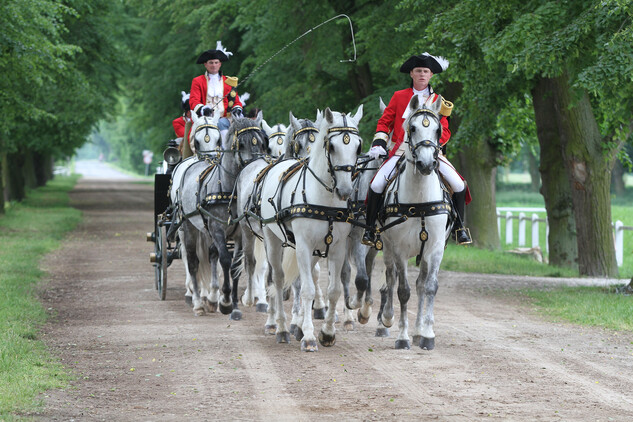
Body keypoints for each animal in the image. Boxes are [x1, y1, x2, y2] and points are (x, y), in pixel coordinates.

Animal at [258, 107, 366, 352]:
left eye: (358, 146)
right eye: (332, 146)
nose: (345, 190)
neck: (325, 201)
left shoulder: (336, 248)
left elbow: (334, 290)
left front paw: (327, 333)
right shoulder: (303, 247)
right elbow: (306, 289)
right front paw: (308, 336)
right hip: (272, 240)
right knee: (278, 279)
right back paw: (281, 327)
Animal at [378, 95, 452, 350]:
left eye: (438, 130)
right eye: (412, 128)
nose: (426, 164)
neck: (420, 200)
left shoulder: (435, 248)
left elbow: (428, 287)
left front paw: (427, 334)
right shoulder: (399, 249)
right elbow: (403, 290)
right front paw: (402, 337)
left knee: (420, 284)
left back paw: (419, 331)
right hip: (387, 247)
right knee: (390, 278)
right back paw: (387, 318)